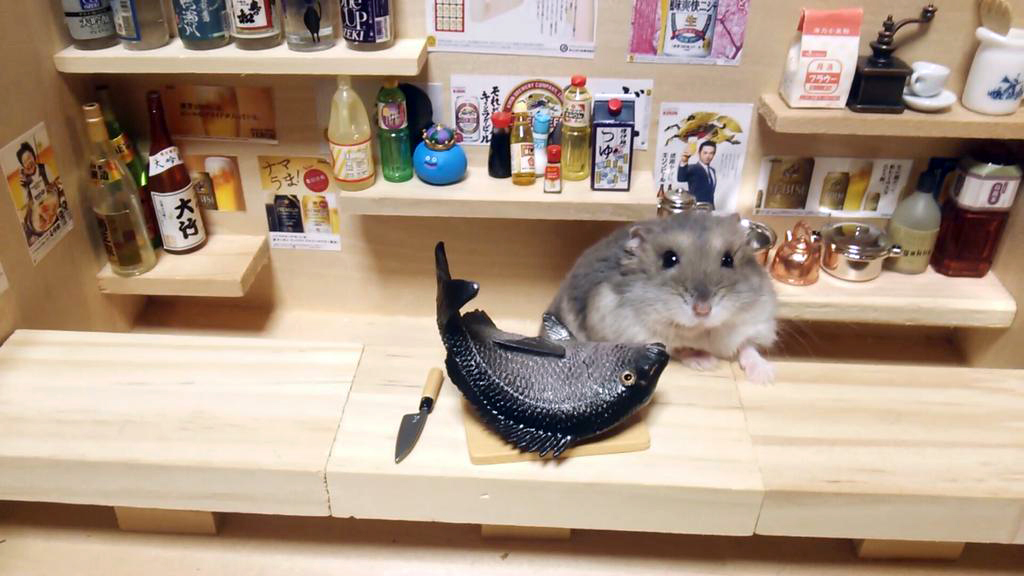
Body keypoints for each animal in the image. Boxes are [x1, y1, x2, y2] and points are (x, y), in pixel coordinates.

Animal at [547, 211, 777, 384]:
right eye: (669, 259)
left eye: (728, 259)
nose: (703, 310)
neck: (702, 330)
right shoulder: (635, 332)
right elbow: (678, 348)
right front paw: (707, 363)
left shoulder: (755, 320)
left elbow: (747, 346)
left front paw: (765, 377)